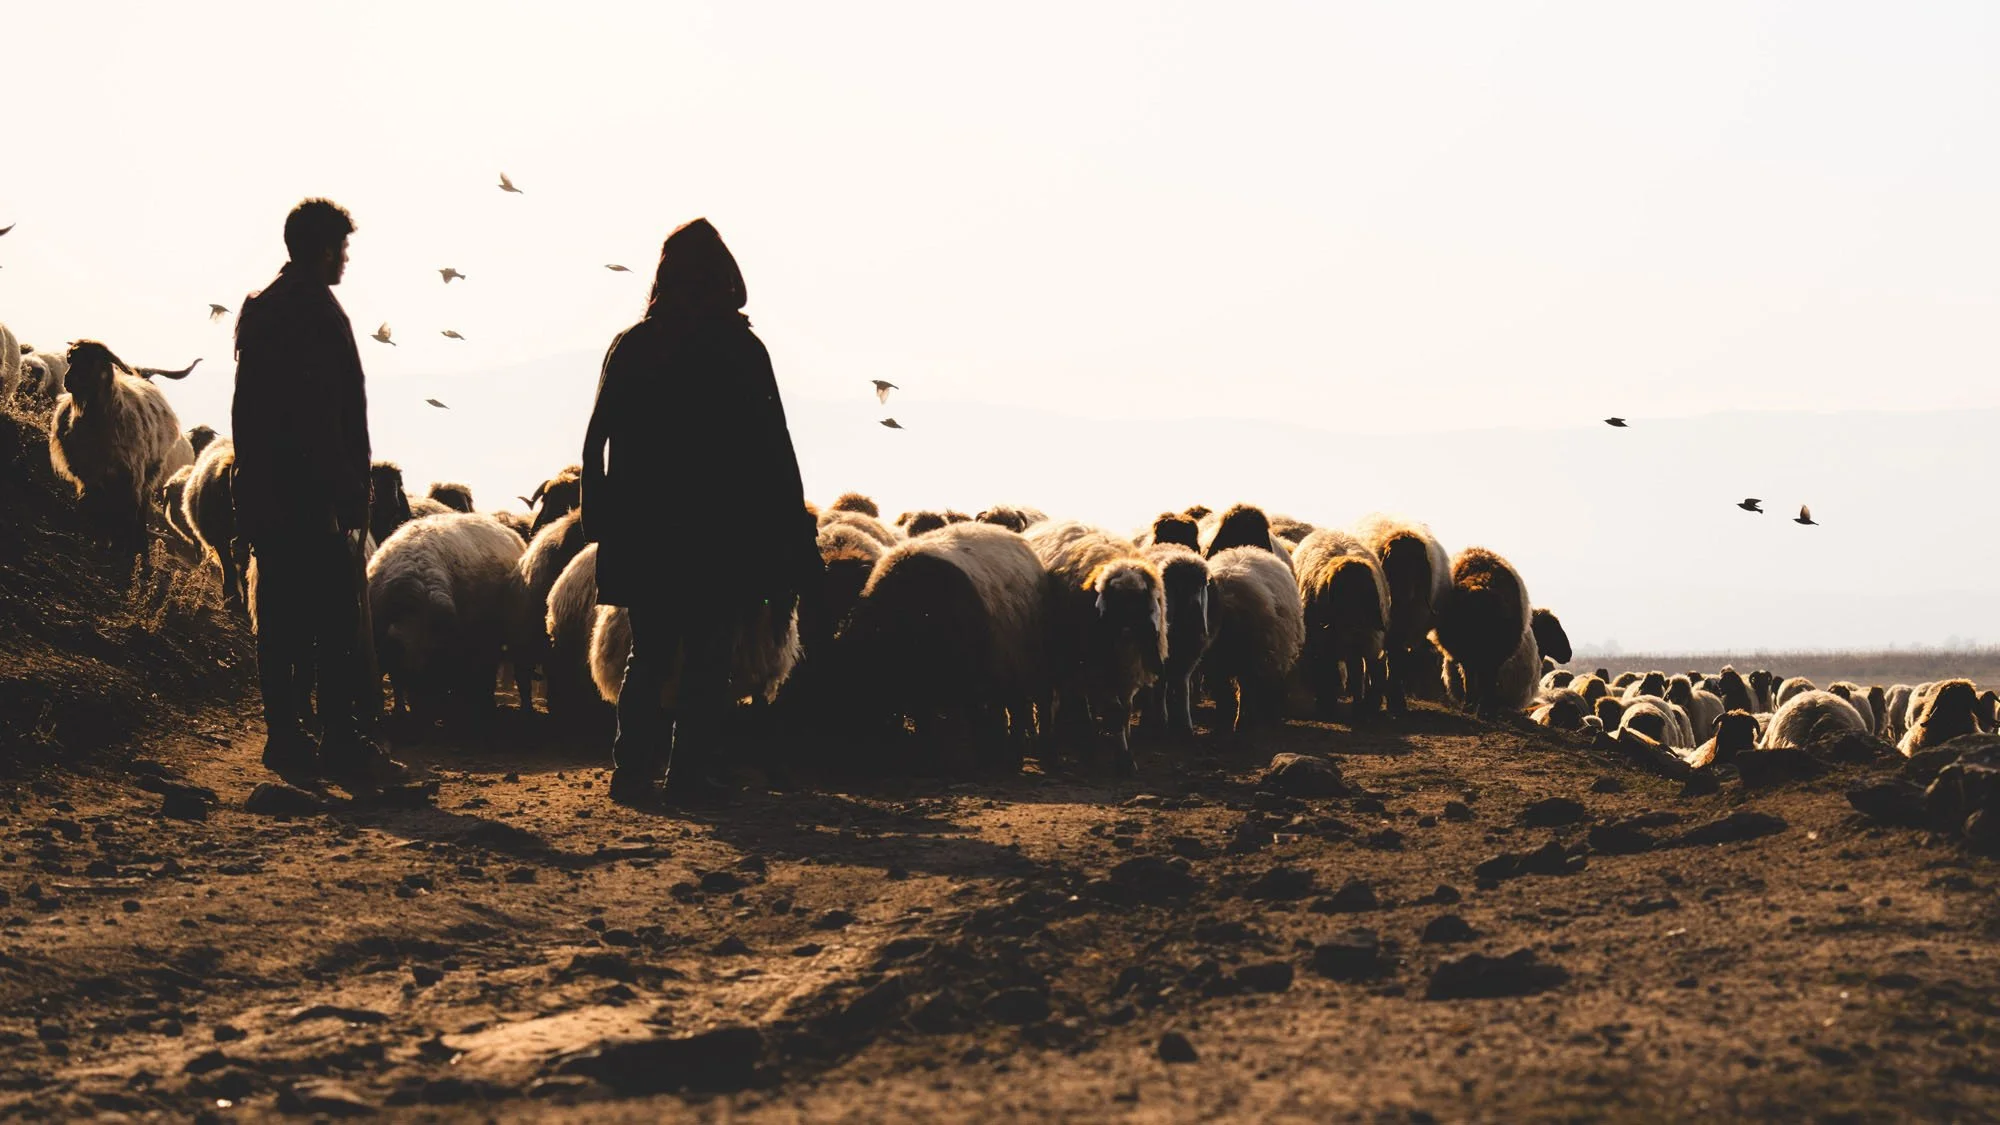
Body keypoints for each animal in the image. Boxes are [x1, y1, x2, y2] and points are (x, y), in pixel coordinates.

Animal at [47, 341, 197, 577]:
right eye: (70, 359)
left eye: (92, 360)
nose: (68, 380)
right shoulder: (88, 471)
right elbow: (93, 502)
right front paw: (99, 540)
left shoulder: (129, 475)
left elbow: (127, 509)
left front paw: (123, 549)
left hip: (148, 473)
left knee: (140, 508)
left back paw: (138, 550)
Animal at [1032, 527, 1167, 773]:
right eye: (1117, 601)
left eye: (1139, 600)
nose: (1128, 627)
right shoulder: (1098, 670)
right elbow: (1115, 714)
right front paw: (1124, 761)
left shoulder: (1127, 673)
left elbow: (1125, 711)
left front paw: (1124, 751)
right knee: (1048, 702)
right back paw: (1051, 749)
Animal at [1139, 543, 1218, 737]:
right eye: (1179, 586)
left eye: (1201, 586)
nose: (1196, 611)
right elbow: (1161, 686)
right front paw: (1162, 720)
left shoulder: (1190, 656)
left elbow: (1182, 686)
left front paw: (1185, 724)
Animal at [1351, 513, 1451, 713]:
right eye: (1394, 562)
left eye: (1416, 565)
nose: (1402, 593)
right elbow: (1377, 663)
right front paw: (1373, 700)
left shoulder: (1404, 629)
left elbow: (1396, 661)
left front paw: (1396, 702)